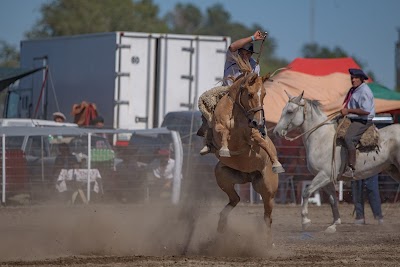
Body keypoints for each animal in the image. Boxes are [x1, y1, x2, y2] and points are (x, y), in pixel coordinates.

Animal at [212, 63, 278, 244]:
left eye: (264, 94)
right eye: (249, 94)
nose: (258, 122)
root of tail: (248, 176)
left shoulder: (250, 135)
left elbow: (255, 139)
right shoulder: (219, 127)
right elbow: (222, 131)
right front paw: (224, 149)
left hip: (268, 191)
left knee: (267, 217)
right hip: (222, 175)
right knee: (235, 199)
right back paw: (221, 225)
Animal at [274, 91, 400, 233]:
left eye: (290, 111)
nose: (276, 131)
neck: (321, 138)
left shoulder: (325, 175)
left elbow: (306, 192)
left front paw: (305, 221)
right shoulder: (326, 179)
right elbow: (332, 200)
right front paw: (334, 224)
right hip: (394, 170)